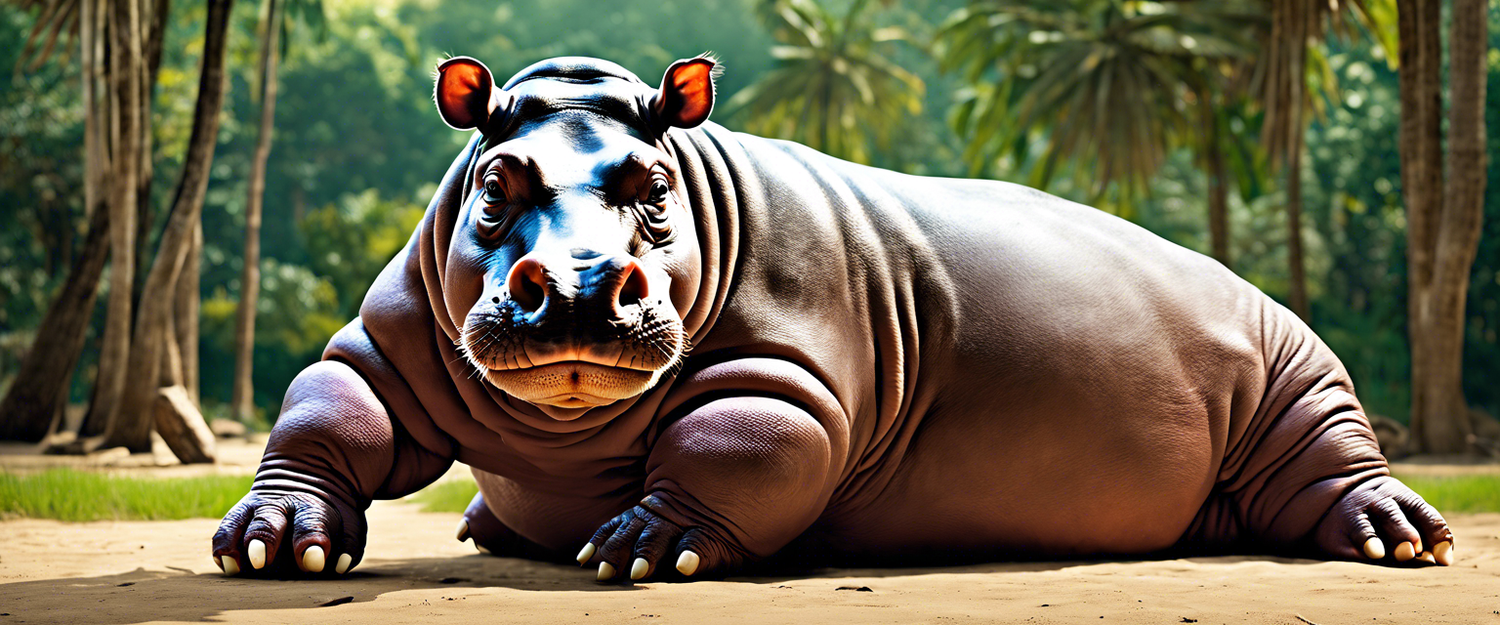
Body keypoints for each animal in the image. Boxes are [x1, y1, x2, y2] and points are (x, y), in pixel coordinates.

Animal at [211, 55, 1454, 582]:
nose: (578, 283)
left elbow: (740, 441)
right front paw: (274, 542)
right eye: (493, 184)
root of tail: (1248, 286)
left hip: (1296, 364)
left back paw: (1403, 539)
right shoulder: (385, 343)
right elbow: (328, 411)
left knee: (1334, 452)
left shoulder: (784, 368)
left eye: (653, 186)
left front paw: (639, 547)